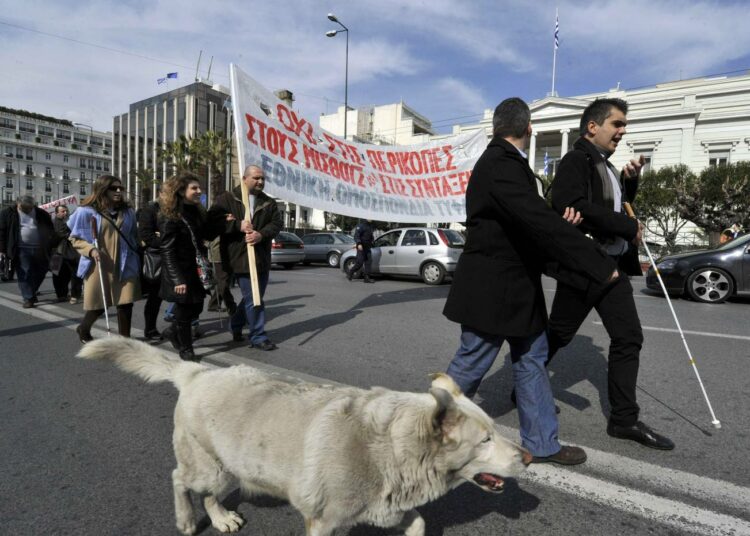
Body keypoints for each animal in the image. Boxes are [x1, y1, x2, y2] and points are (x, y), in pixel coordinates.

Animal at [79, 338, 532, 532]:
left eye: (496, 431)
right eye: (485, 440)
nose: (529, 457)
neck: (390, 447)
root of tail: (195, 372)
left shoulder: (389, 511)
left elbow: (418, 523)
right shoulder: (324, 522)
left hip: (230, 469)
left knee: (208, 493)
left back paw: (221, 518)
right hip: (208, 468)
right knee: (179, 479)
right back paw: (187, 521)